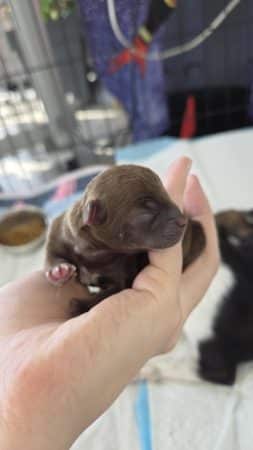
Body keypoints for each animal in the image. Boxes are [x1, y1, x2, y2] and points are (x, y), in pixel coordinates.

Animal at [44, 163, 205, 314]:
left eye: (166, 194)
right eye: (147, 210)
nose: (183, 221)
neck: (95, 251)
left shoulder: (121, 271)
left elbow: (109, 294)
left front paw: (80, 306)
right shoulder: (61, 231)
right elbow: (51, 250)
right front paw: (58, 271)